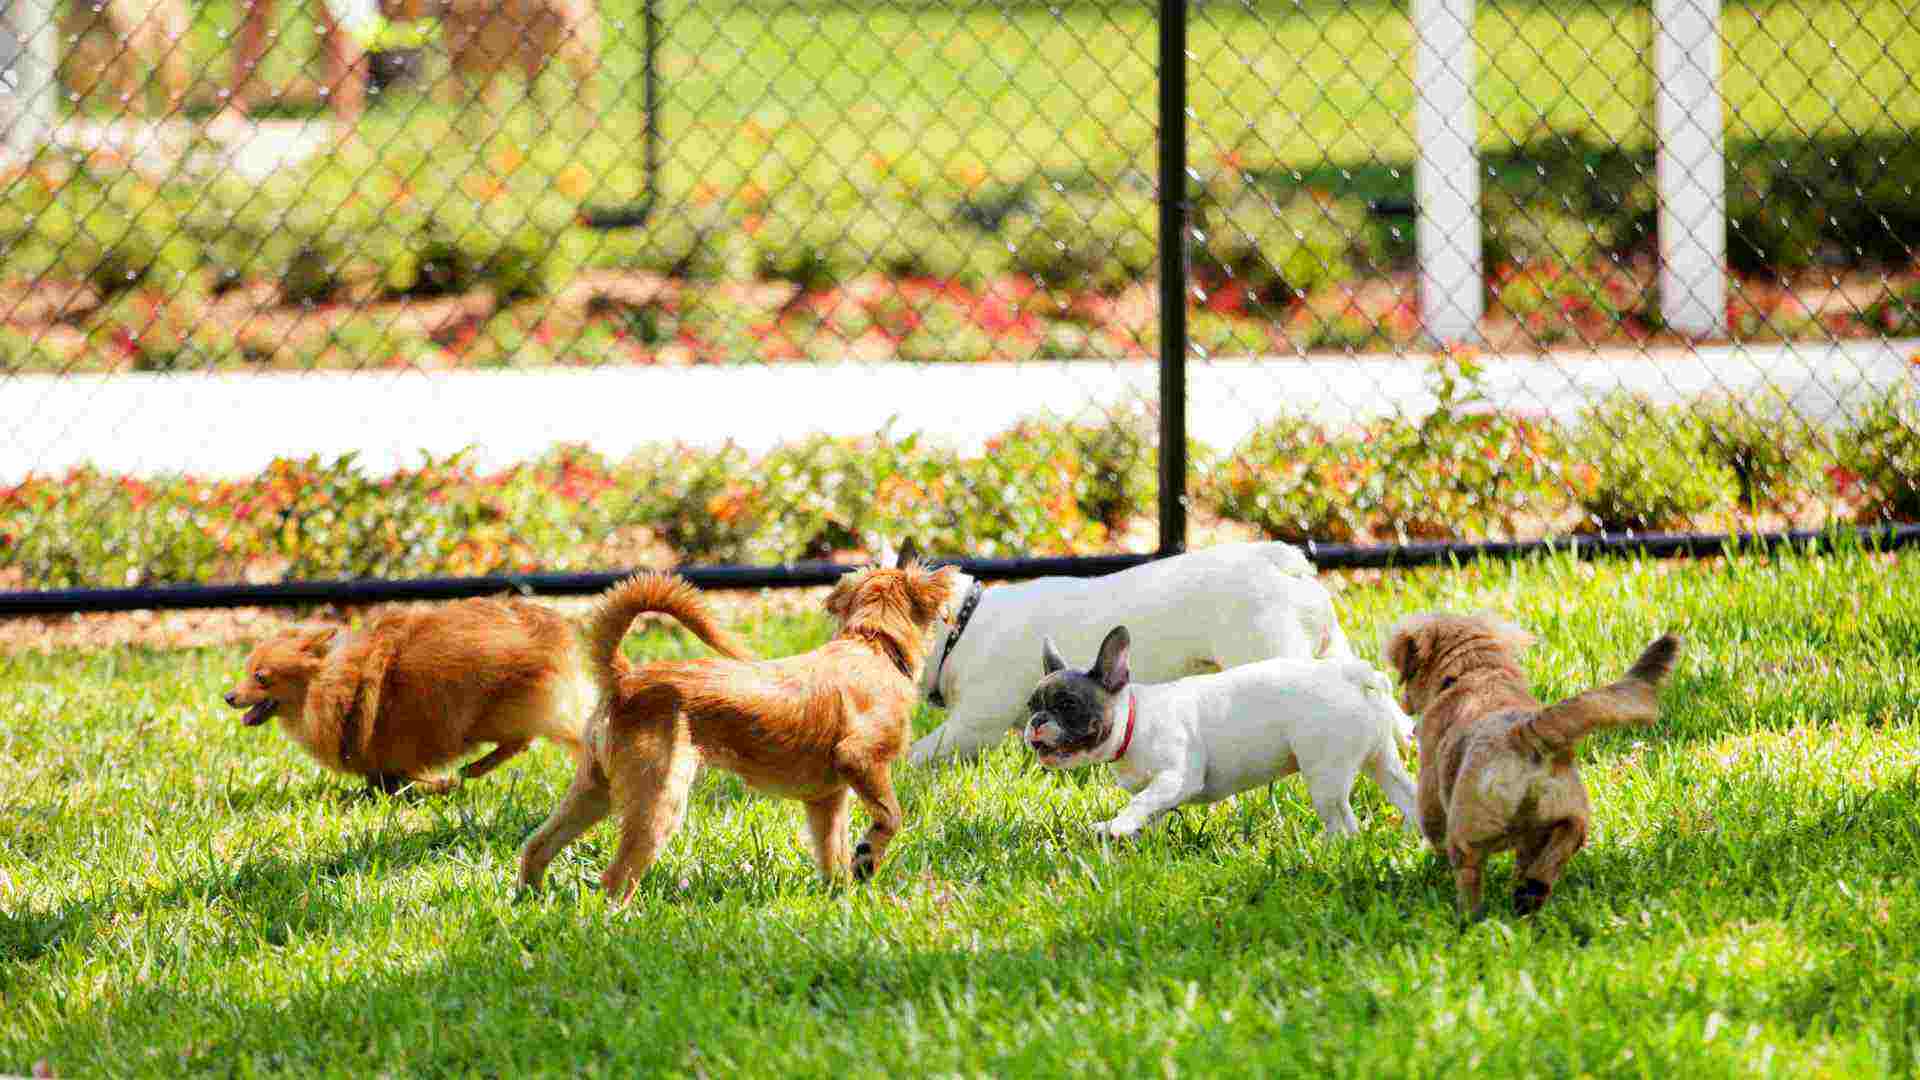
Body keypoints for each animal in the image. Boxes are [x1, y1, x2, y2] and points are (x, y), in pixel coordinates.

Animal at [221, 595, 618, 791]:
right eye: (246, 672)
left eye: (261, 678)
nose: (228, 696)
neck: (330, 685)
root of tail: (542, 629)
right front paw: (439, 785)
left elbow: (395, 781)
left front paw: (439, 785)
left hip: (487, 716)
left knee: (521, 740)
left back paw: (474, 768)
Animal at [514, 557, 956, 895]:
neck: (872, 642)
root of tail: (625, 679)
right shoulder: (861, 759)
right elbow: (891, 816)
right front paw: (867, 858)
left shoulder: (826, 800)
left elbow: (832, 852)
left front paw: (841, 898)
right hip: (660, 797)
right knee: (615, 879)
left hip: (596, 789)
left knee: (537, 846)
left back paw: (532, 901)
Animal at [1029, 618, 1420, 837]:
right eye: (1032, 706)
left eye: (1068, 705)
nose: (1036, 721)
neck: (1134, 721)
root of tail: (1350, 674)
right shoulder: (1161, 790)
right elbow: (1150, 810)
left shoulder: (1176, 777)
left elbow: (1143, 800)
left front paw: (1116, 827)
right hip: (1380, 760)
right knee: (1406, 794)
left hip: (1325, 774)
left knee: (1343, 822)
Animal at [1382, 614, 1681, 914]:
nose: (1402, 702)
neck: (1474, 672)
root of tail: (1523, 734)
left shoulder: (1430, 797)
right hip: (1566, 816)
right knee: (1558, 849)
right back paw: (1530, 893)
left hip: (1466, 835)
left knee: (1470, 876)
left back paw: (1469, 917)